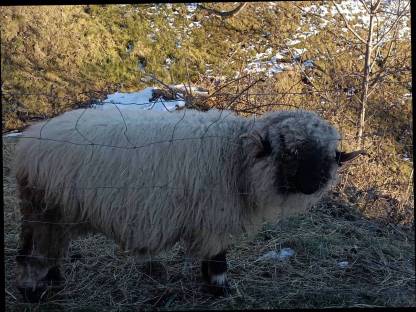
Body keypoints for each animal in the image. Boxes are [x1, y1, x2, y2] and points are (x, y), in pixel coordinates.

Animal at [14, 106, 362, 302]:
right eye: (289, 152)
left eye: (328, 155)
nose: (314, 183)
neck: (235, 156)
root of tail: (29, 142)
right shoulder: (214, 220)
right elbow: (217, 261)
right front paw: (220, 289)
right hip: (48, 211)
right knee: (33, 256)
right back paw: (33, 293)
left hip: (51, 215)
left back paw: (54, 281)